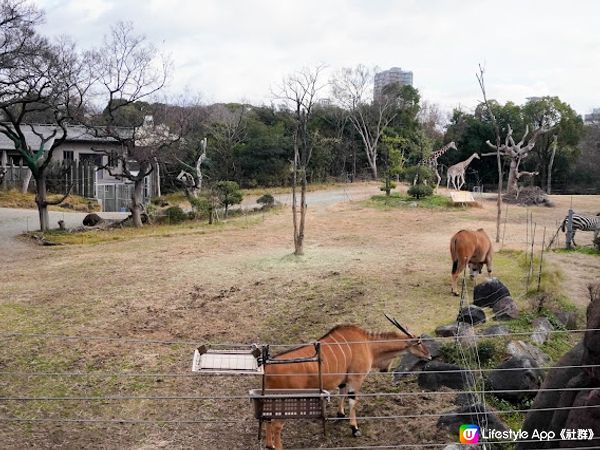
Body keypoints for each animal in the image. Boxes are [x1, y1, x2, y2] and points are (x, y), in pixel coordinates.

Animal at [264, 314, 432, 450]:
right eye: (418, 342)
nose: (429, 356)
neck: (368, 345)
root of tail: (268, 368)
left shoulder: (344, 380)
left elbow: (342, 394)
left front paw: (340, 415)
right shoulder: (356, 378)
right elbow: (353, 401)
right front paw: (354, 429)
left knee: (268, 419)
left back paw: (269, 445)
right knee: (277, 425)